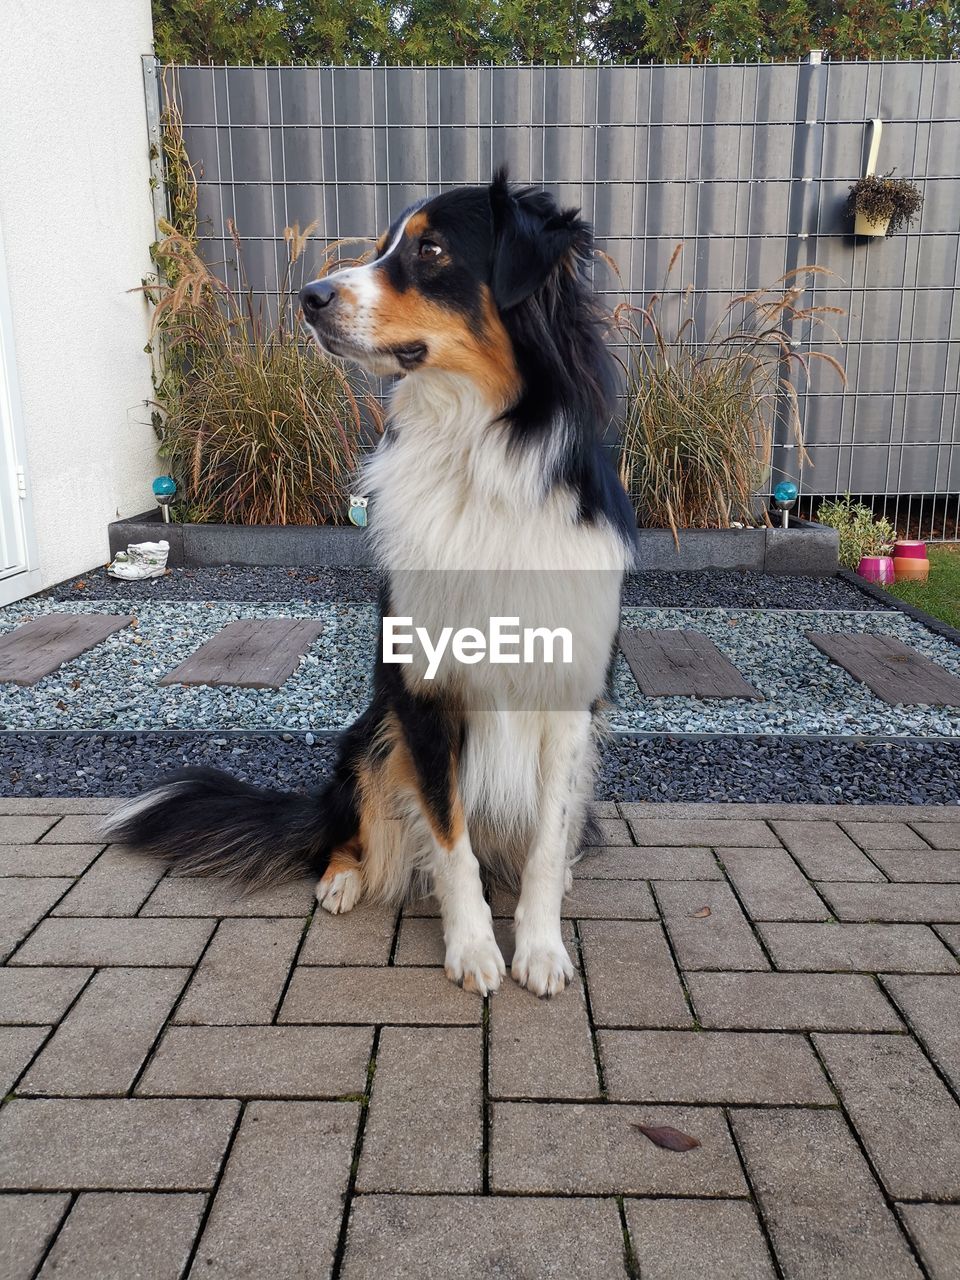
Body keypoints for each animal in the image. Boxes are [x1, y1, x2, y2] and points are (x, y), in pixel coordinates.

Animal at [106, 167, 640, 998]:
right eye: (385, 244)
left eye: (431, 250)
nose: (309, 295)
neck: (477, 451)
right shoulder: (421, 694)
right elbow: (450, 839)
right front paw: (473, 947)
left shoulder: (568, 694)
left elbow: (548, 841)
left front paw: (541, 946)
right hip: (371, 734)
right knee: (349, 830)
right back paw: (342, 877)